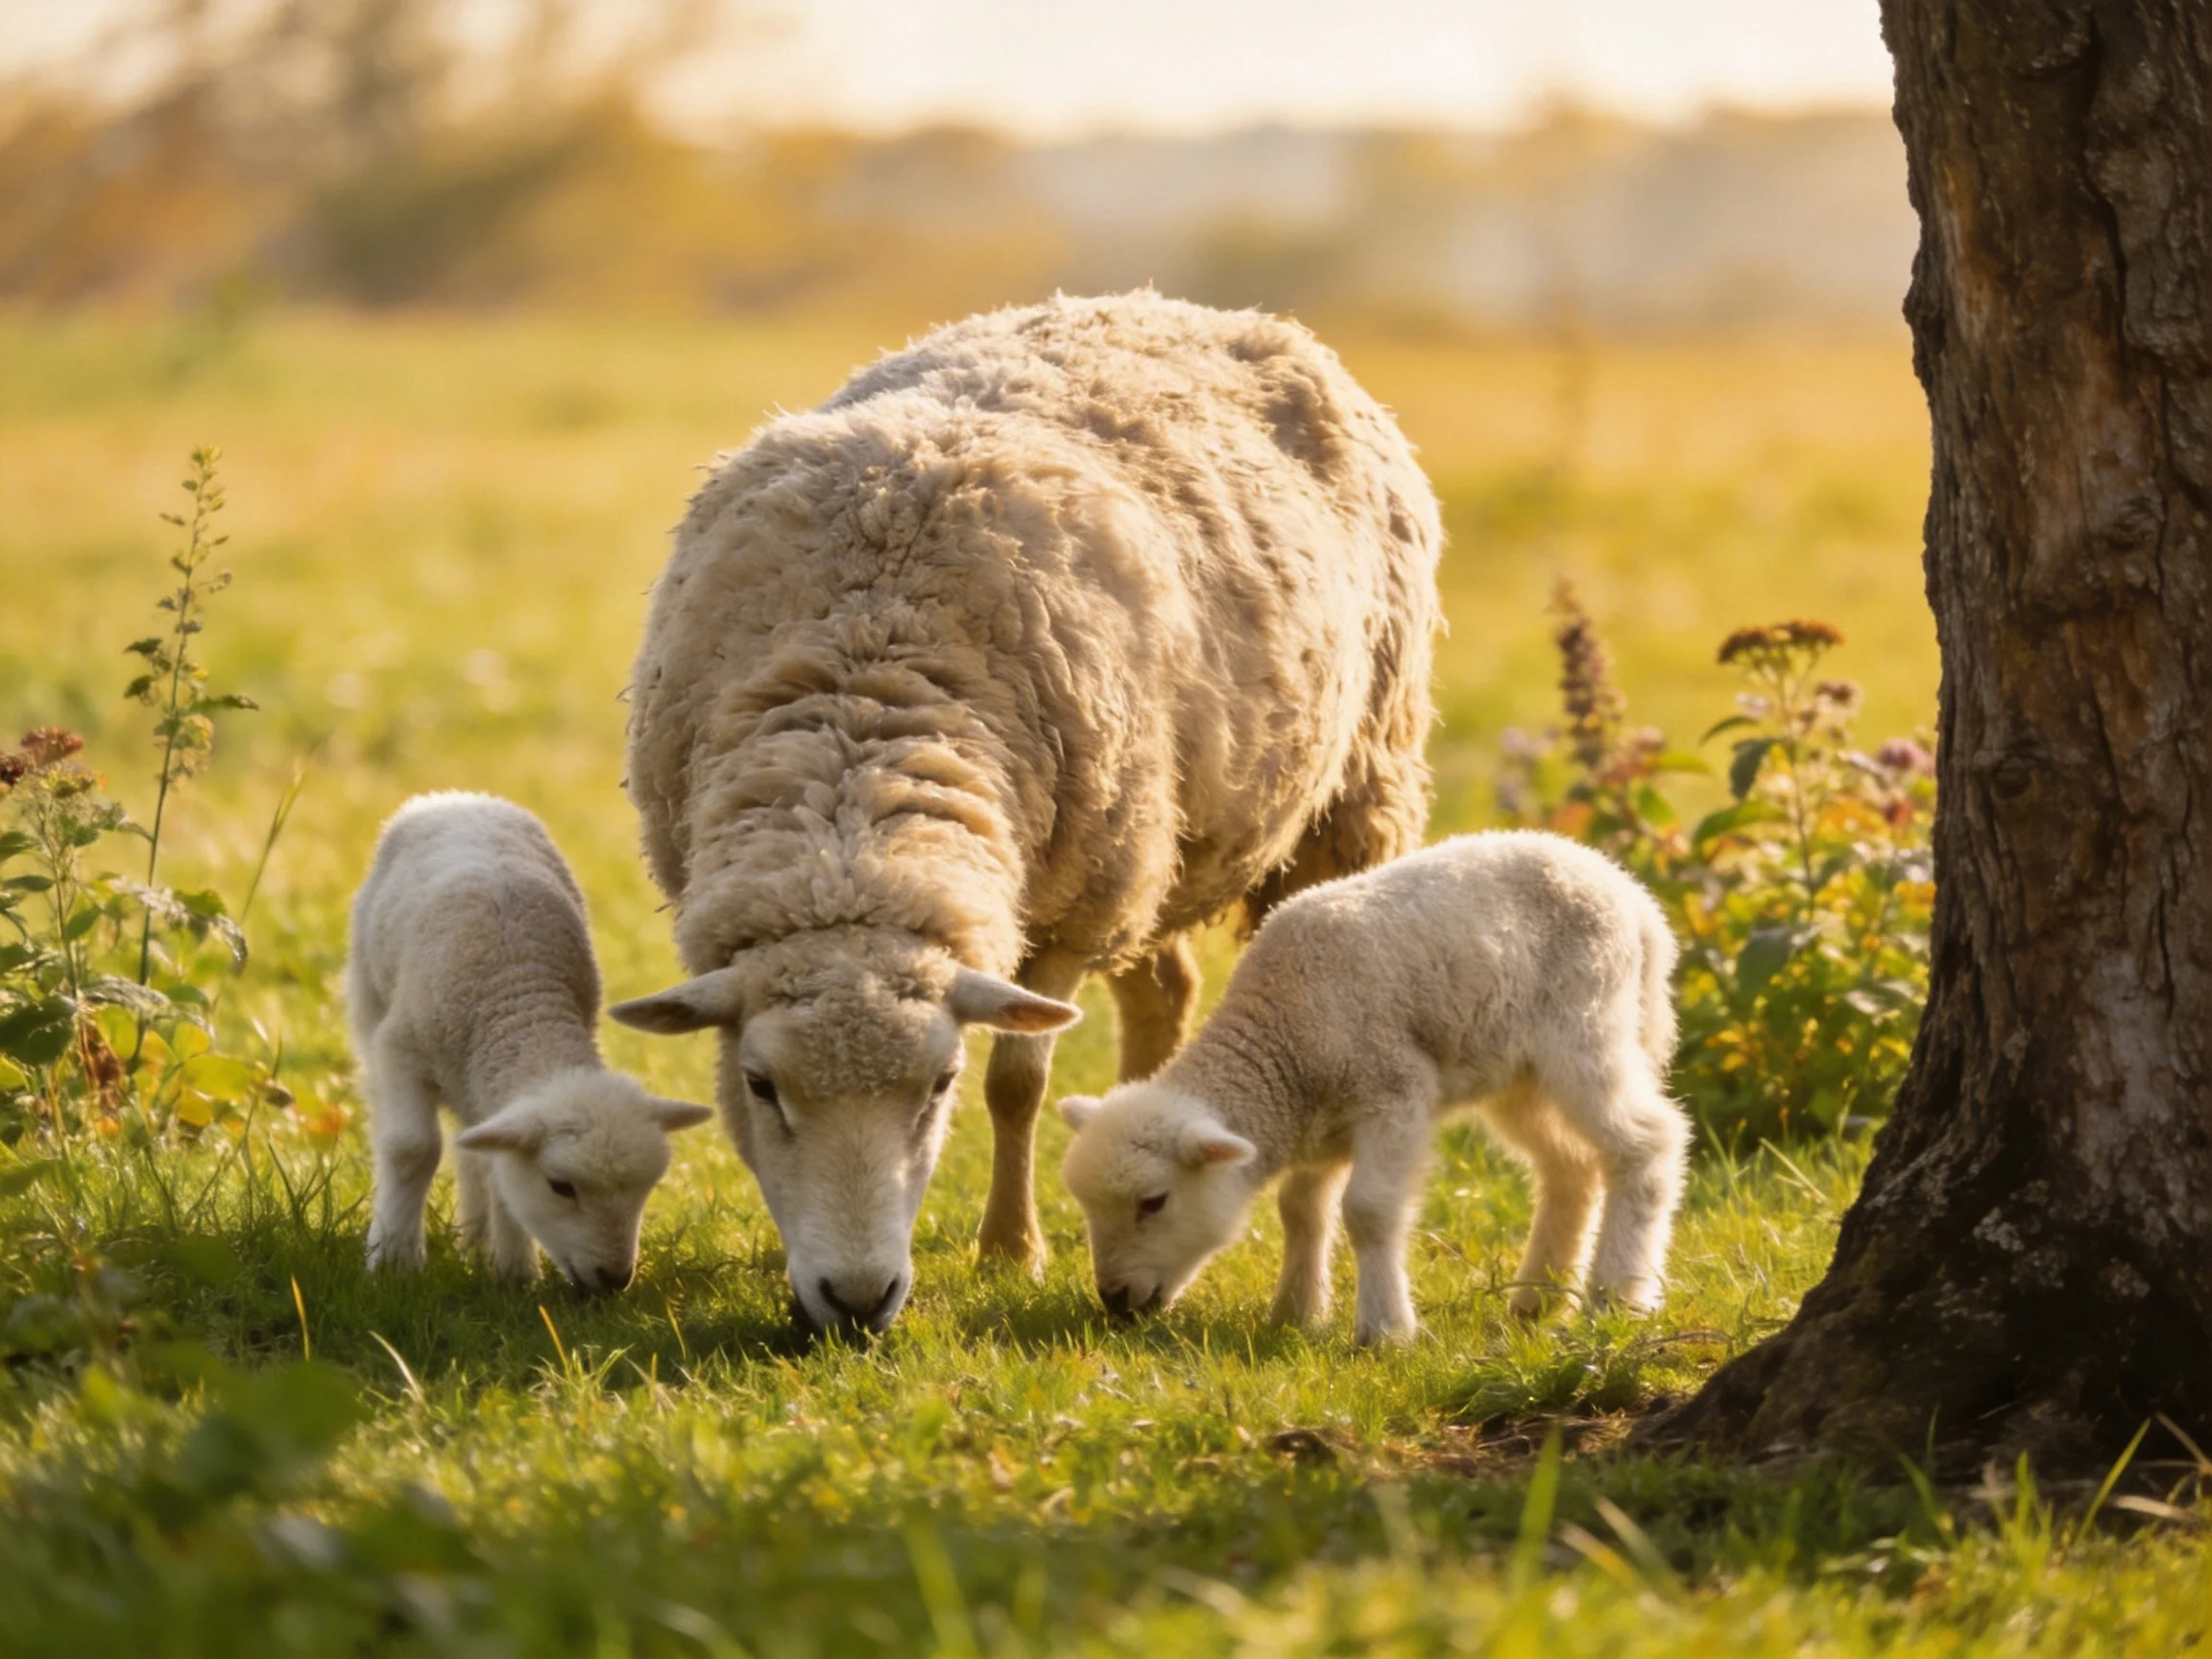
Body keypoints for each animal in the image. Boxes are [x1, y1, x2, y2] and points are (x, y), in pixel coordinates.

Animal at [348, 792, 713, 1292]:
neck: (524, 1002)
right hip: (369, 992)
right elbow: (412, 1149)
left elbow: (500, 1167)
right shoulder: (403, 1048)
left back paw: (476, 1244)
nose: (614, 1278)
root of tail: (460, 797)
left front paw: (515, 1276)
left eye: (646, 1188)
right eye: (561, 1186)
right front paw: (394, 1264)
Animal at [611, 290, 1442, 1337]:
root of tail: (1189, 303)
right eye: (762, 1086)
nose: (857, 1301)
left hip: (1337, 798)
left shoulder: (1069, 916)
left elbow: (1019, 1083)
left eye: (940, 1083)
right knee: (1165, 990)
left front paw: (1011, 1249)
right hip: (1160, 852)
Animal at [1057, 830, 1689, 1344]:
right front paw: (1296, 1315)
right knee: (1569, 1167)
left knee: (1647, 1143)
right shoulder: (1322, 1121)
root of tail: (1635, 899)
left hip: (1586, 1026)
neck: (1282, 1036)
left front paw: (1385, 1331)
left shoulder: (1392, 1091)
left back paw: (1616, 1296)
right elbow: (1300, 1210)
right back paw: (1537, 1299)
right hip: (1519, 1075)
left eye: (1154, 1202)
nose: (1114, 1300)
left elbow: (1368, 1211)